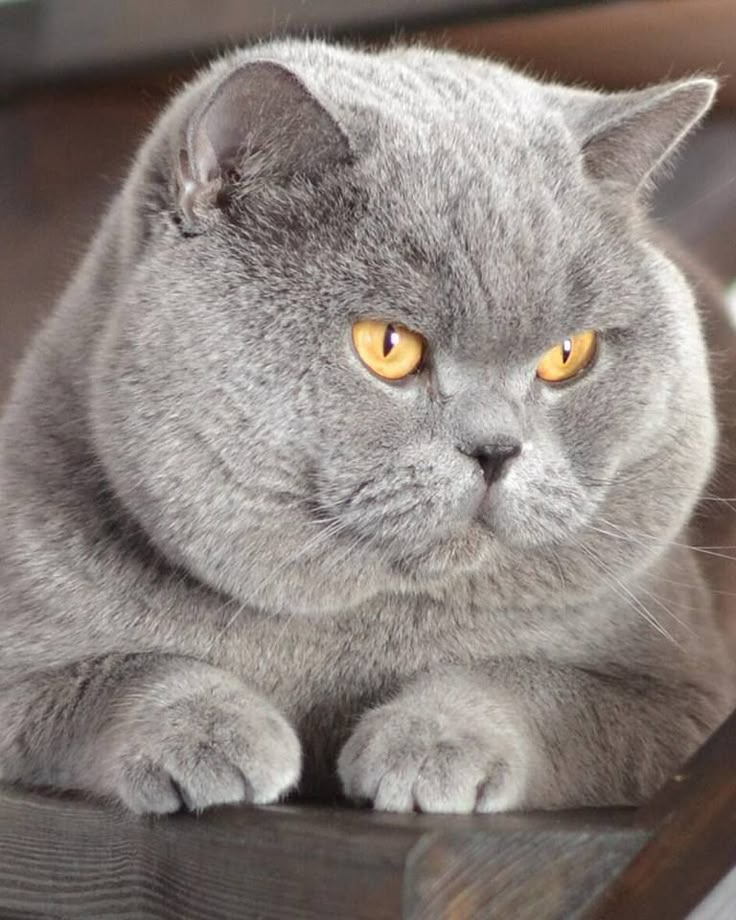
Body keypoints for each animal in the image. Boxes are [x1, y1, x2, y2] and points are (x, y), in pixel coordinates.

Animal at [1, 37, 736, 812]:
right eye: (387, 345)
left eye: (568, 354)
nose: (496, 450)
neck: (355, 626)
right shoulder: (20, 663)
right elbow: (125, 672)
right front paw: (213, 737)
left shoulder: (682, 704)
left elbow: (532, 683)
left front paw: (431, 745)